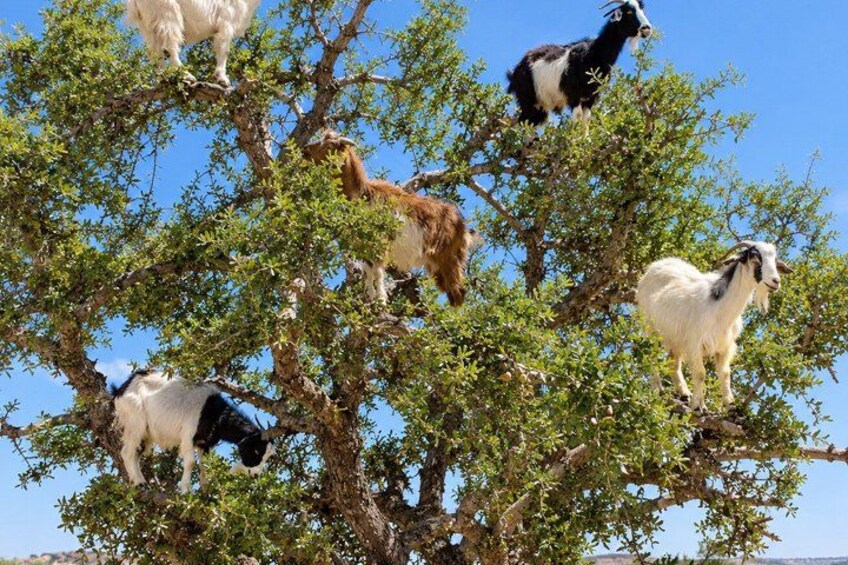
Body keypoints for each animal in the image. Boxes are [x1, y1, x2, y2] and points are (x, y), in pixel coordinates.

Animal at [112, 369, 274, 493]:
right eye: (257, 450)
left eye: (268, 456)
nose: (255, 475)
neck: (213, 412)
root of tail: (122, 389)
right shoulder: (188, 435)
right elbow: (190, 463)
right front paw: (186, 492)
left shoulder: (204, 443)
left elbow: (205, 464)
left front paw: (205, 491)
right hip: (135, 422)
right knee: (127, 452)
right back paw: (140, 484)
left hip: (146, 433)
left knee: (136, 453)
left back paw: (139, 481)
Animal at [125, 0, 260, 86]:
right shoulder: (226, 21)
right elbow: (224, 50)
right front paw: (222, 80)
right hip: (168, 14)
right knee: (169, 47)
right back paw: (187, 76)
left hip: (148, 25)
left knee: (155, 52)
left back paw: (163, 78)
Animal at [302, 131, 480, 307]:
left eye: (330, 145)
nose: (305, 151)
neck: (364, 196)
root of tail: (462, 227)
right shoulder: (364, 247)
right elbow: (368, 272)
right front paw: (370, 298)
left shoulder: (380, 243)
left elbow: (378, 271)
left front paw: (381, 301)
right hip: (436, 265)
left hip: (449, 259)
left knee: (458, 293)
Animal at [507, 0, 652, 128]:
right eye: (628, 11)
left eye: (642, 9)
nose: (647, 29)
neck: (594, 53)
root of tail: (514, 72)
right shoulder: (573, 93)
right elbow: (577, 116)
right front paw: (573, 141)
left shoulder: (592, 96)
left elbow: (586, 119)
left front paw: (586, 140)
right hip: (528, 99)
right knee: (524, 123)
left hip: (541, 105)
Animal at [636, 241, 794, 412]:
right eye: (754, 257)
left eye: (775, 261)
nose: (775, 281)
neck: (720, 309)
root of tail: (655, 266)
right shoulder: (695, 344)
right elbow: (700, 374)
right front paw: (699, 406)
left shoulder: (725, 347)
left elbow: (725, 373)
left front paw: (730, 405)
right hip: (650, 326)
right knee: (651, 355)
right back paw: (657, 389)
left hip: (675, 337)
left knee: (673, 361)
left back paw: (684, 393)